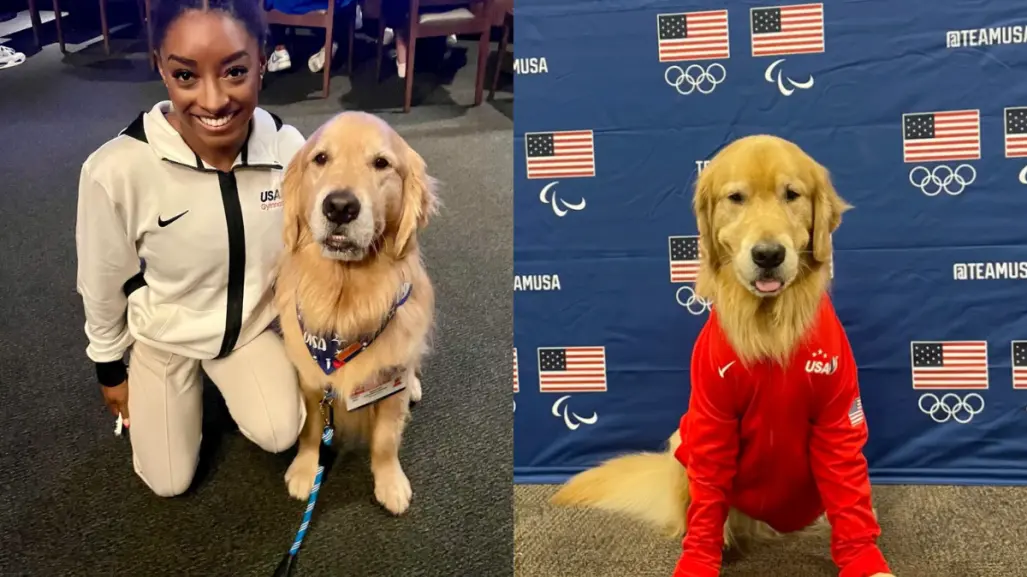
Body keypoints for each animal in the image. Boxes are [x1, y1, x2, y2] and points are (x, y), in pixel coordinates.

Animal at [273, 111, 437, 511]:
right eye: (320, 158)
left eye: (381, 163)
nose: (340, 206)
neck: (345, 301)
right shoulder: (312, 379)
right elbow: (311, 430)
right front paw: (305, 469)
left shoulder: (390, 380)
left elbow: (386, 440)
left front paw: (390, 482)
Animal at [550, 134, 895, 574]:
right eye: (736, 198)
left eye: (792, 194)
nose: (768, 254)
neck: (768, 329)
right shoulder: (713, 423)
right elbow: (707, 507)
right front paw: (698, 558)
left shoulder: (838, 420)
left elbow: (850, 502)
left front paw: (864, 559)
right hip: (684, 437)